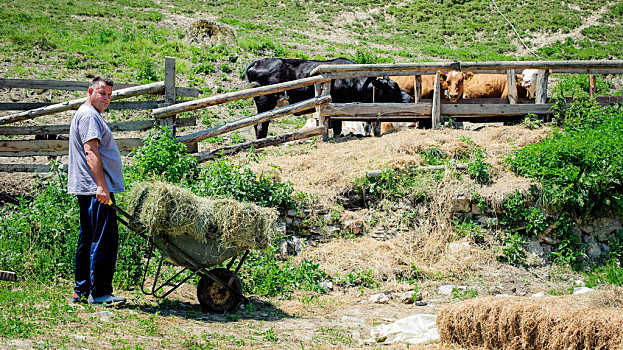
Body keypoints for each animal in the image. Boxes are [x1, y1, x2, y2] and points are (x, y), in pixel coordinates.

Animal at [245, 58, 414, 139]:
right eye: (393, 87)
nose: (410, 98)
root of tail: (258, 62)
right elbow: (338, 128)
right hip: (265, 102)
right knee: (261, 127)